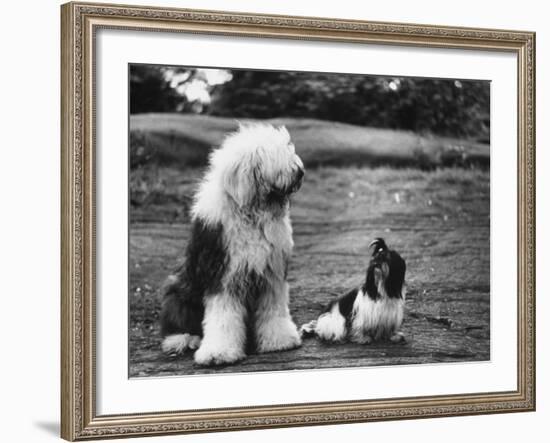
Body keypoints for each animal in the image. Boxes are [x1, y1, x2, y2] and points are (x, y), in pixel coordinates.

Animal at [161, 122, 306, 368]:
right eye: (276, 154)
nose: (300, 172)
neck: (252, 213)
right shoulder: (222, 275)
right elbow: (223, 317)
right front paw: (218, 353)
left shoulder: (271, 274)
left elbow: (274, 309)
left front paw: (280, 340)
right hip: (179, 288)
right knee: (177, 320)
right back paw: (184, 339)